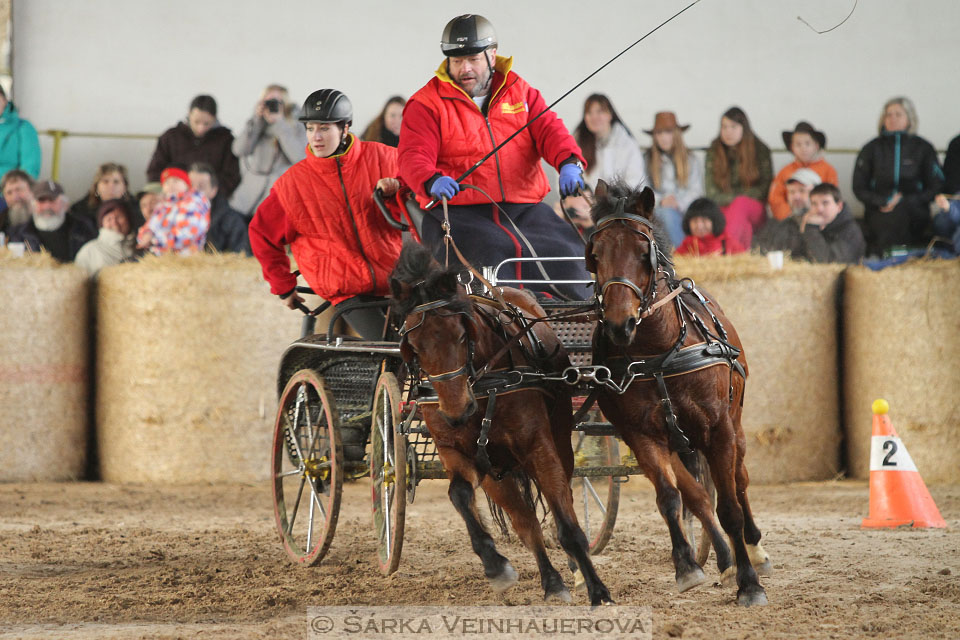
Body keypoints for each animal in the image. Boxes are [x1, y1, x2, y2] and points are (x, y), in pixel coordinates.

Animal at [392, 240, 612, 604]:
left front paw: (597, 589)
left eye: (461, 335)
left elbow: (566, 523)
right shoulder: (456, 452)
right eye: (415, 346)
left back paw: (575, 570)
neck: (484, 385)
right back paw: (551, 581)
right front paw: (495, 565)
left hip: (557, 442)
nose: (456, 410)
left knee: (563, 502)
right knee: (525, 522)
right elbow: (459, 495)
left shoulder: (539, 446)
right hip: (497, 471)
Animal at [584, 179, 772, 604]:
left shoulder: (718, 430)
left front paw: (750, 583)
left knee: (740, 481)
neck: (658, 353)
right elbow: (670, 499)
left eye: (644, 253)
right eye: (595, 255)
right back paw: (724, 559)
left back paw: (753, 548)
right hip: (677, 441)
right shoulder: (642, 435)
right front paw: (687, 567)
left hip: (734, 425)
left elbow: (730, 508)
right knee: (696, 495)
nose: (619, 325)